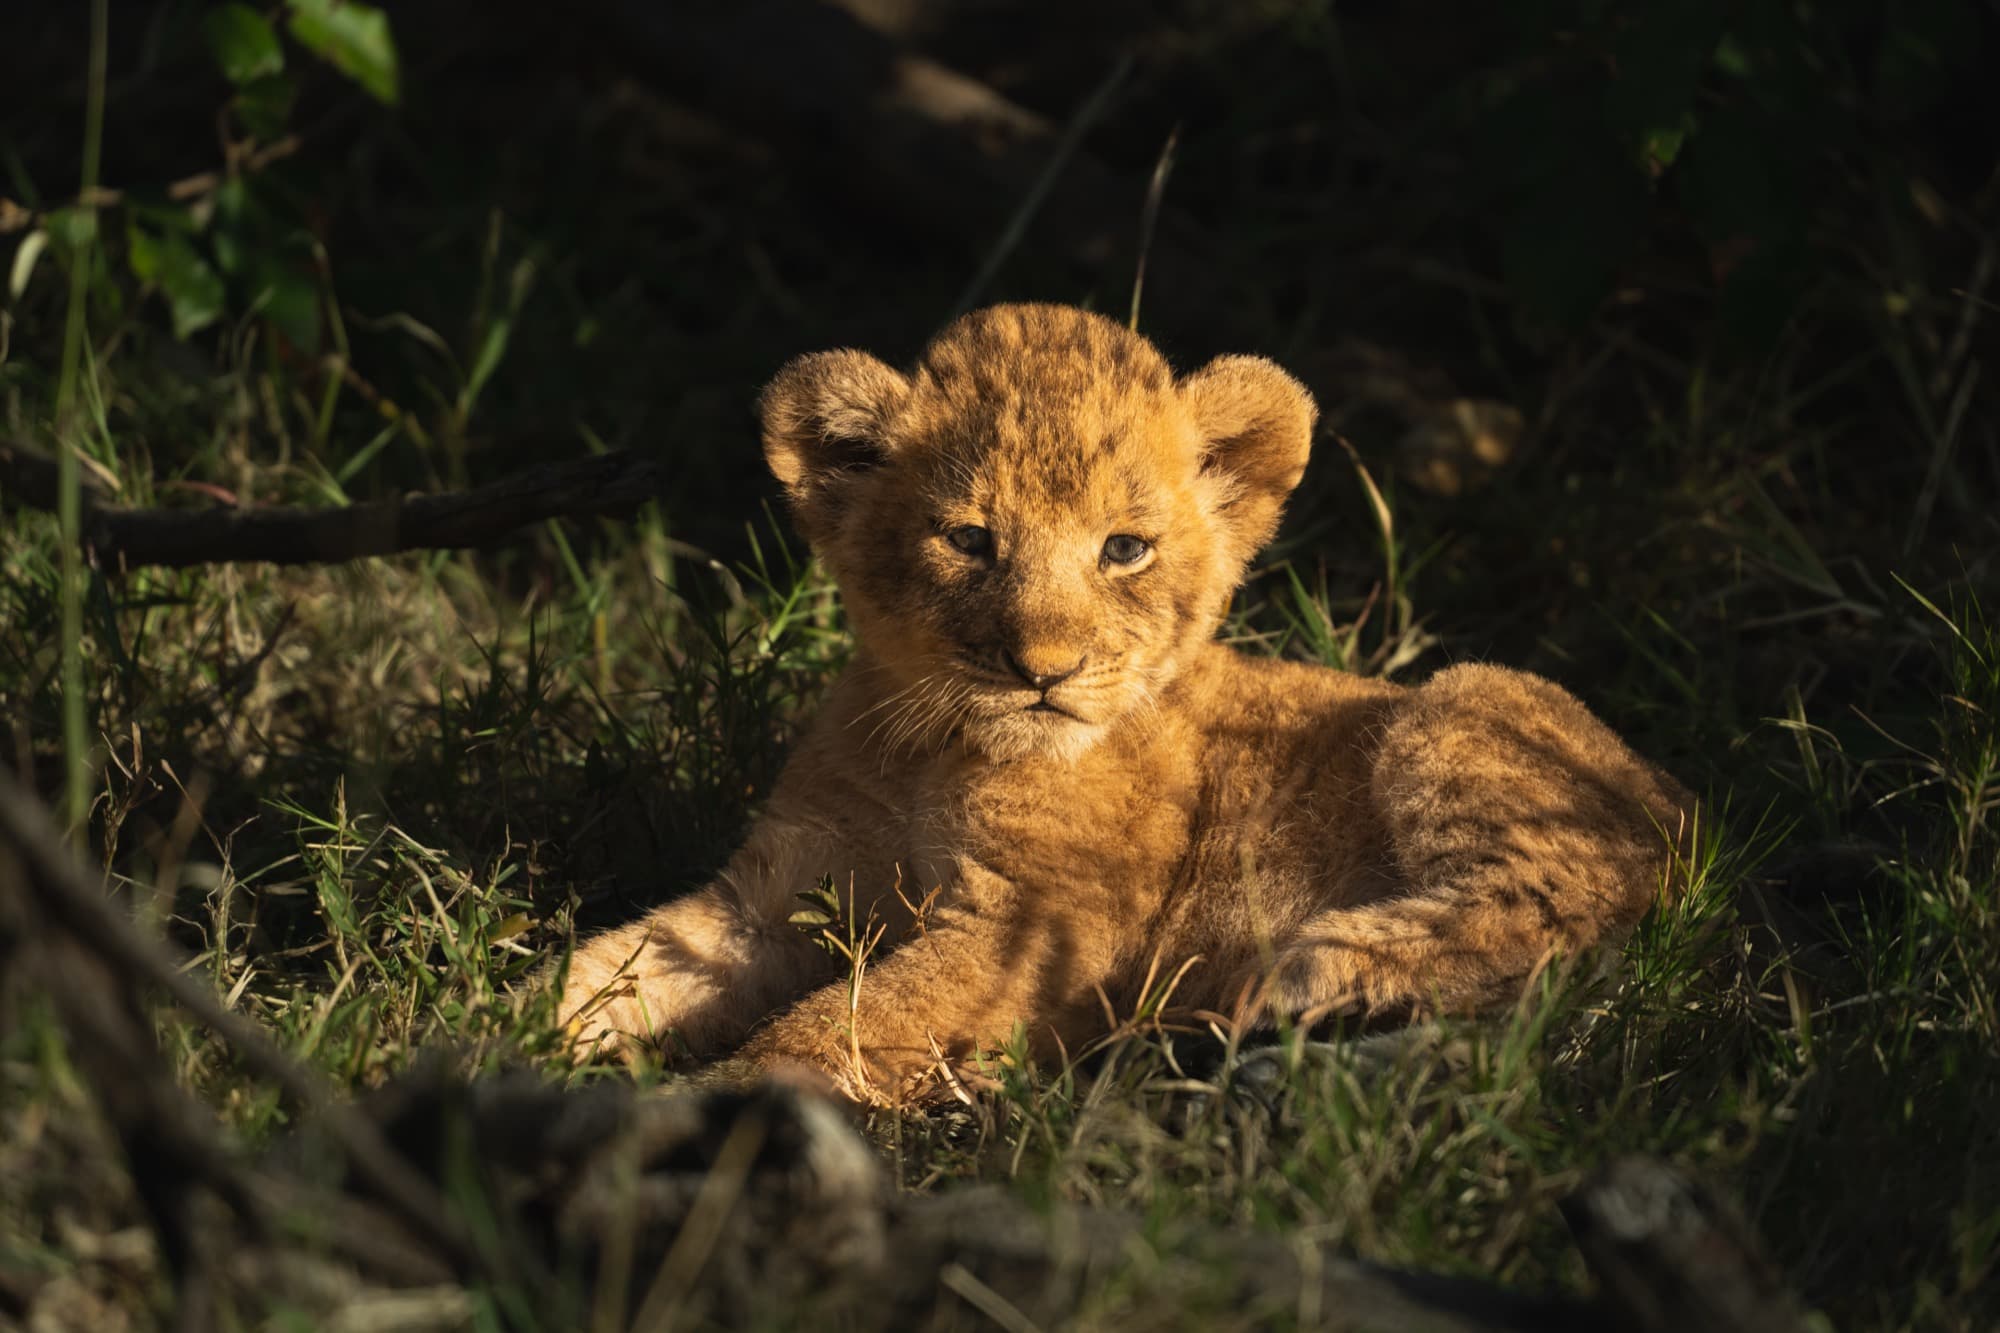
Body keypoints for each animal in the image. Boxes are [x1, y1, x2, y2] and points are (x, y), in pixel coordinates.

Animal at [556, 303, 1692, 1103]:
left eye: (1124, 549)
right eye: (968, 539)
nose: (1041, 668)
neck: (931, 748)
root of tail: (1682, 802)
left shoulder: (1035, 927)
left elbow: (840, 1020)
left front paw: (711, 1109)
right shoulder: (775, 894)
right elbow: (622, 964)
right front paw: (516, 1035)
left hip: (1462, 703)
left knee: (1549, 914)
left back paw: (1303, 975)